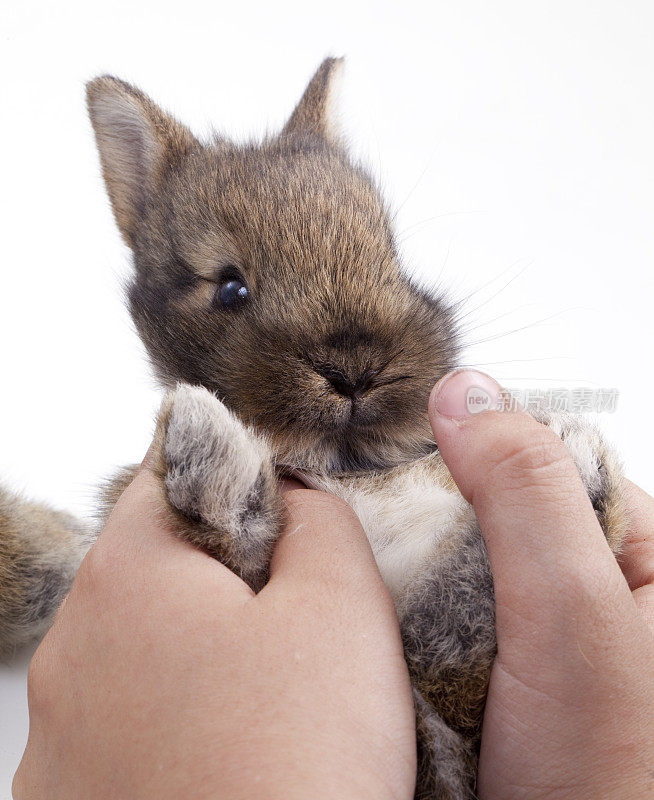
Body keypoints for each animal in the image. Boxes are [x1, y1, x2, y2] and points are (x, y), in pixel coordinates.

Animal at [0, 61, 628, 800]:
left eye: (390, 258)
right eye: (230, 288)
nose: (356, 368)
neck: (348, 472)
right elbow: (234, 533)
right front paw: (203, 440)